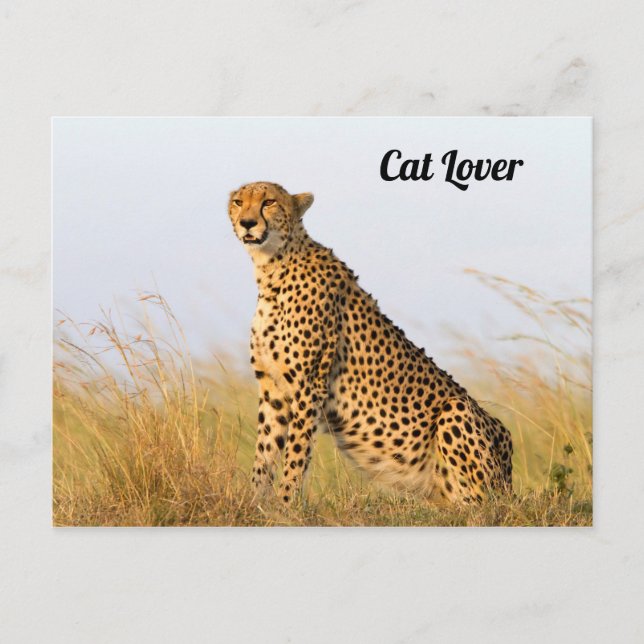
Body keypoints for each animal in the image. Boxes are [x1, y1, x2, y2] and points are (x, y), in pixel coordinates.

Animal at [227, 181, 513, 505]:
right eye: (238, 202)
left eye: (269, 202)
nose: (247, 223)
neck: (272, 267)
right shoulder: (272, 388)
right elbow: (265, 451)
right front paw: (253, 503)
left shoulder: (308, 386)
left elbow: (296, 454)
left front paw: (286, 505)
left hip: (457, 413)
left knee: (480, 504)